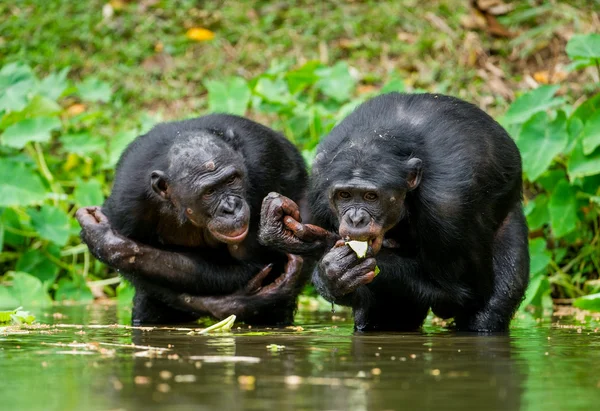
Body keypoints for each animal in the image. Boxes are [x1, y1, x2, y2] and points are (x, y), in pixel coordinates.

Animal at [76, 114, 310, 326]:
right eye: (209, 191)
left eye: (231, 180)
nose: (231, 207)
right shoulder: (126, 202)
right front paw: (110, 243)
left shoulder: (264, 165)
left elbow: (253, 262)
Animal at [258, 91, 528, 334]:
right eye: (345, 195)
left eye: (371, 196)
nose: (355, 218)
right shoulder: (318, 191)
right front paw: (327, 270)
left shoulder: (451, 204)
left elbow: (462, 293)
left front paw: (320, 247)